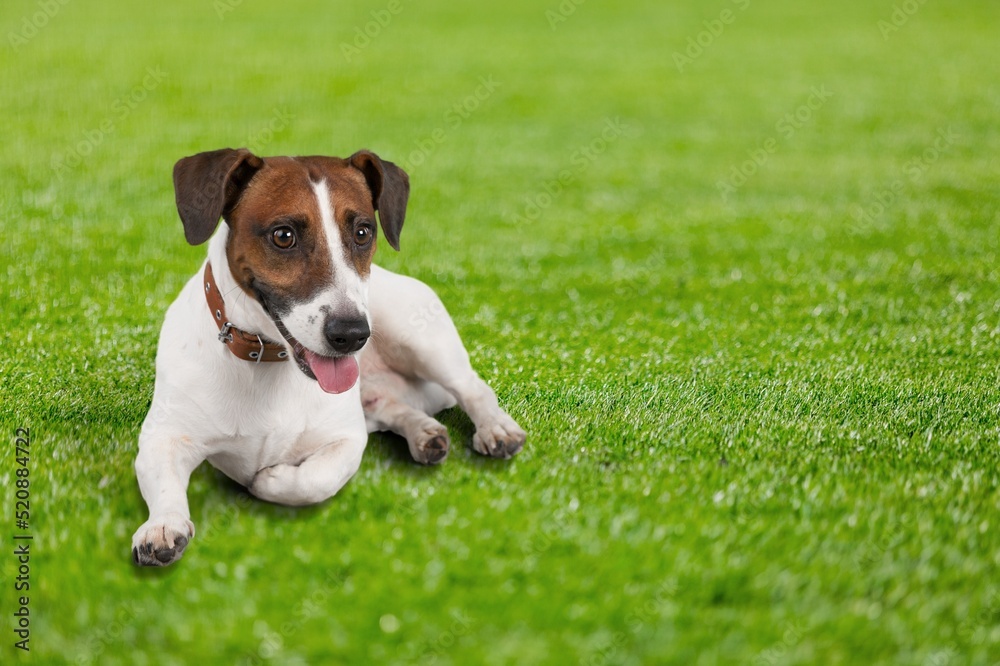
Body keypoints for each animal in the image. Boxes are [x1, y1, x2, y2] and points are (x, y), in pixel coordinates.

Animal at [131, 148, 532, 564]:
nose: (353, 335)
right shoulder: (162, 437)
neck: (267, 361)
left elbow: (313, 479)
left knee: (473, 387)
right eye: (283, 236)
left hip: (420, 338)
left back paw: (497, 429)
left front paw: (268, 478)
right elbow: (164, 480)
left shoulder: (347, 440)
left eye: (362, 232)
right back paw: (425, 433)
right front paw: (164, 526)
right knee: (391, 406)